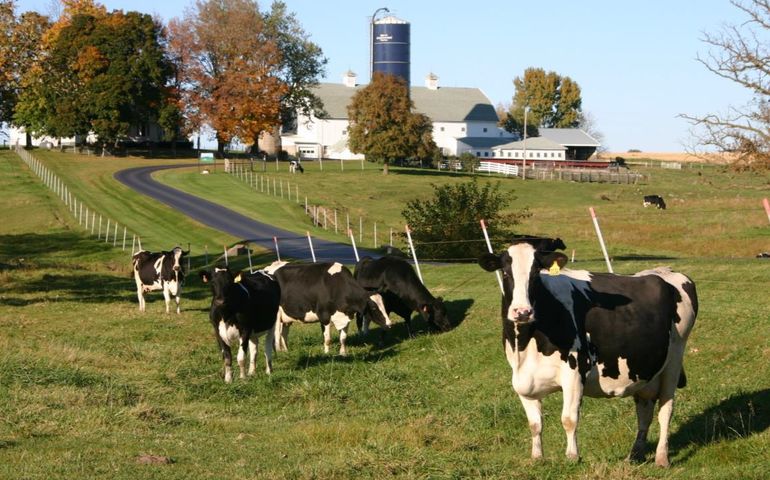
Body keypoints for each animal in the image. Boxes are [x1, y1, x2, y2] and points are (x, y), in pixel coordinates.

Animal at [474, 238, 696, 466]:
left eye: (536, 273)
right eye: (505, 273)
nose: (522, 312)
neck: (526, 343)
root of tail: (665, 271)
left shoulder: (574, 371)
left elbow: (569, 419)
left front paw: (572, 456)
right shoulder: (523, 379)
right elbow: (535, 423)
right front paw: (537, 457)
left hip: (674, 359)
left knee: (666, 409)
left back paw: (661, 457)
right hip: (645, 369)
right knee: (644, 410)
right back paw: (635, 454)